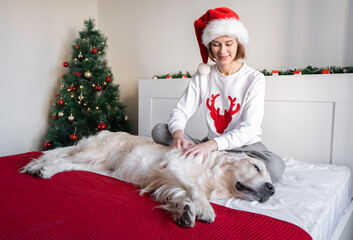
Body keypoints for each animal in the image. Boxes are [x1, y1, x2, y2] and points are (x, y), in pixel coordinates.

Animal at [21, 131, 276, 227]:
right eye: (256, 167)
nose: (272, 189)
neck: (212, 175)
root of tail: (105, 131)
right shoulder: (173, 165)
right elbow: (194, 187)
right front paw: (204, 209)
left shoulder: (166, 180)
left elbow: (181, 193)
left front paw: (184, 211)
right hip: (91, 153)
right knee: (59, 155)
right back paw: (40, 168)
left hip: (97, 166)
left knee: (64, 162)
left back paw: (43, 170)